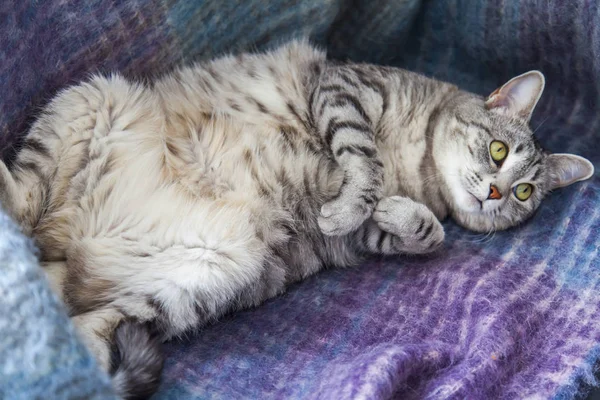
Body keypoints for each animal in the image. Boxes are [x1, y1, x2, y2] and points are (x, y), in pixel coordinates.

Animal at [0, 39, 592, 396]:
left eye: (523, 191)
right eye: (497, 150)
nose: (494, 192)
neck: (420, 172)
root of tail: (77, 249)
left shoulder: (351, 242)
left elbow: (421, 234)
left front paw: (401, 214)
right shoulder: (344, 90)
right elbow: (363, 161)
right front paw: (368, 196)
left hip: (197, 282)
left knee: (77, 338)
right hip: (92, 97)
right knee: (25, 200)